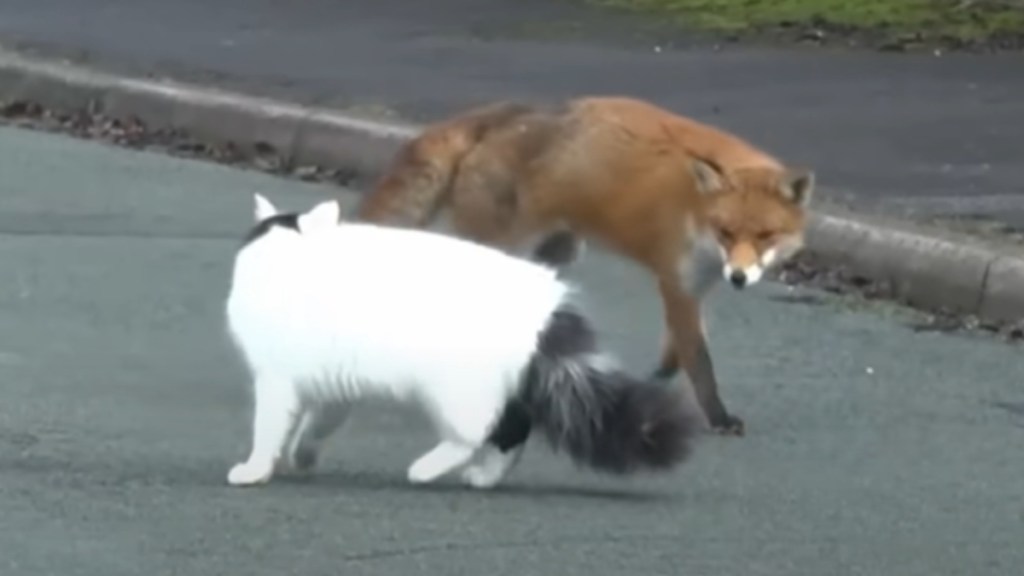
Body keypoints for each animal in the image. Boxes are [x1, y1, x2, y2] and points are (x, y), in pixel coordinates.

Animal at [224, 193, 704, 487]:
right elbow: (317, 425)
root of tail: (547, 302)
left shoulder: (277, 379)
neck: (290, 251)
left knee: (479, 431)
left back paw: (427, 468)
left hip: (455, 390)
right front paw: (302, 457)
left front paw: (256, 468)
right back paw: (487, 476)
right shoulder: (337, 382)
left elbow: (269, 427)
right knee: (513, 429)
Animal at [356, 95, 819, 434]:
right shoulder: (677, 280)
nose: (739, 277)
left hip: (554, 255)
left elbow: (680, 346)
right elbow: (700, 361)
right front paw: (718, 417)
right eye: (726, 231)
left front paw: (661, 374)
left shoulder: (698, 284)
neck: (695, 213)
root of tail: (502, 113)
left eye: (766, 236)